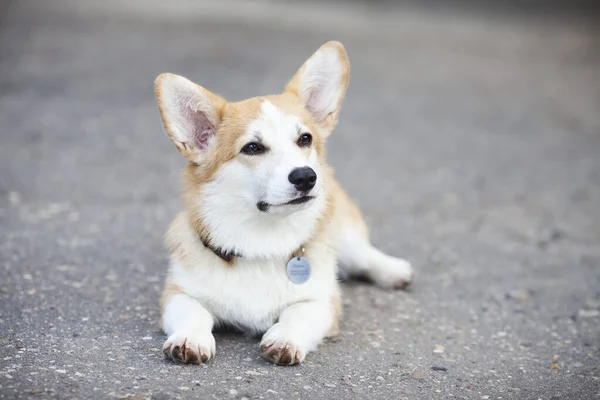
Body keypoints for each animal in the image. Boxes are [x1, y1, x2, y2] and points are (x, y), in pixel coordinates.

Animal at [155, 40, 414, 366]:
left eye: (305, 139)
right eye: (253, 147)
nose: (306, 177)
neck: (262, 237)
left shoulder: (321, 301)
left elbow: (298, 315)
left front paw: (285, 339)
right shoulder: (178, 292)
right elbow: (192, 312)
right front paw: (190, 339)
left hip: (344, 236)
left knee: (363, 255)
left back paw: (394, 270)